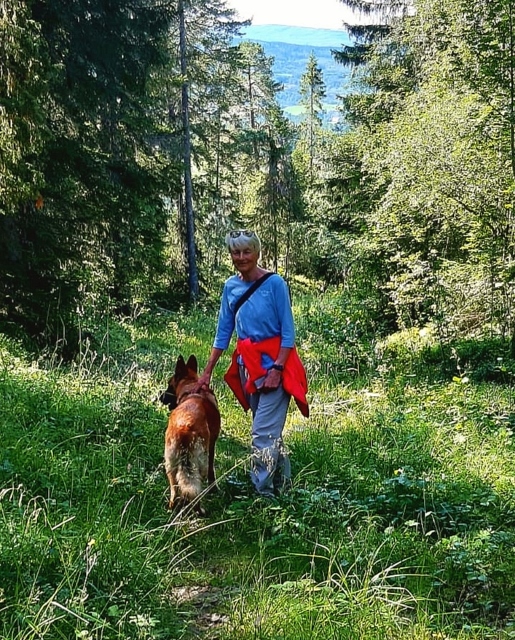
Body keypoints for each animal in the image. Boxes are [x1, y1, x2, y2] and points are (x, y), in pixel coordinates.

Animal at [159, 352, 220, 512]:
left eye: (169, 384)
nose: (160, 398)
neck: (191, 387)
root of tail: (184, 427)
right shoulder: (212, 447)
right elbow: (212, 472)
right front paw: (214, 488)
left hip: (170, 465)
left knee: (175, 492)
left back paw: (172, 508)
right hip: (199, 465)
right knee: (195, 489)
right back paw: (199, 510)